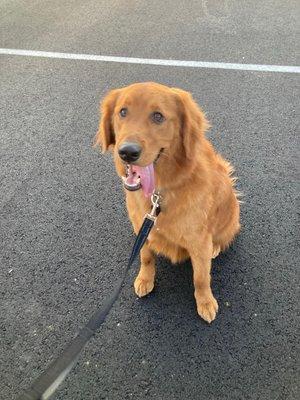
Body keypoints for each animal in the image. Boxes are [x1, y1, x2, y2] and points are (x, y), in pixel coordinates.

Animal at [95, 81, 240, 322]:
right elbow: (145, 256)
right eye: (122, 112)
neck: (160, 193)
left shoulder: (199, 240)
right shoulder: (141, 225)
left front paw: (205, 302)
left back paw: (216, 248)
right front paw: (145, 279)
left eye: (158, 116)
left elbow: (201, 277)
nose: (127, 152)